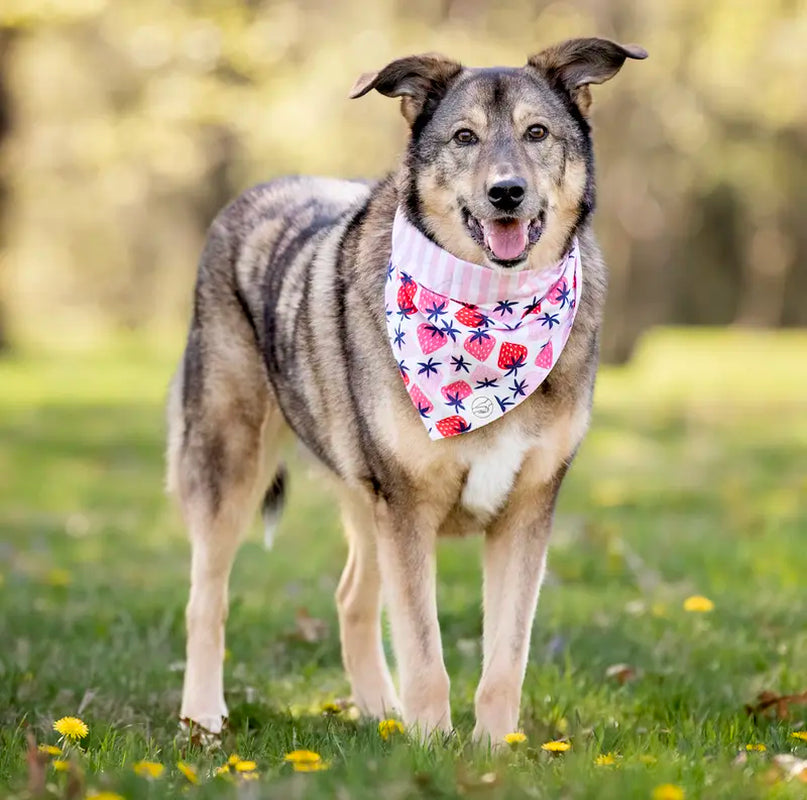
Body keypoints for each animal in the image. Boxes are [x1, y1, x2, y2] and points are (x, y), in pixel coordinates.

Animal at [166, 37, 652, 744]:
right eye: (464, 137)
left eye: (537, 133)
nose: (507, 193)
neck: (493, 309)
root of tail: (256, 192)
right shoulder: (406, 508)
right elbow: (425, 653)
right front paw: (432, 747)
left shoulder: (526, 511)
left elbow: (506, 658)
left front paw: (493, 748)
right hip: (229, 465)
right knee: (207, 600)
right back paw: (202, 718)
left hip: (361, 493)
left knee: (350, 599)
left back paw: (380, 713)